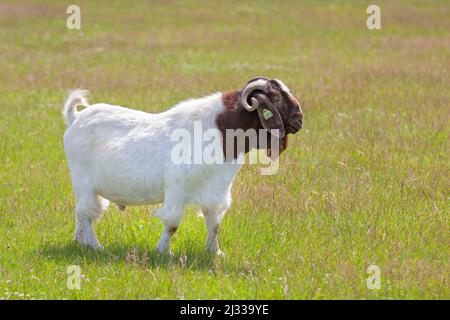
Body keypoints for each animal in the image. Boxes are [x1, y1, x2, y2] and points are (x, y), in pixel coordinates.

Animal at [62, 77, 302, 255]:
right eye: (276, 97)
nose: (299, 120)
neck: (219, 129)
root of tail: (76, 118)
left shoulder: (215, 190)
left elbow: (214, 224)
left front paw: (215, 252)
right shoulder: (177, 190)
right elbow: (172, 223)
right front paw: (163, 252)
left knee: (82, 213)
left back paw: (80, 241)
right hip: (83, 182)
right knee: (85, 213)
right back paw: (95, 246)